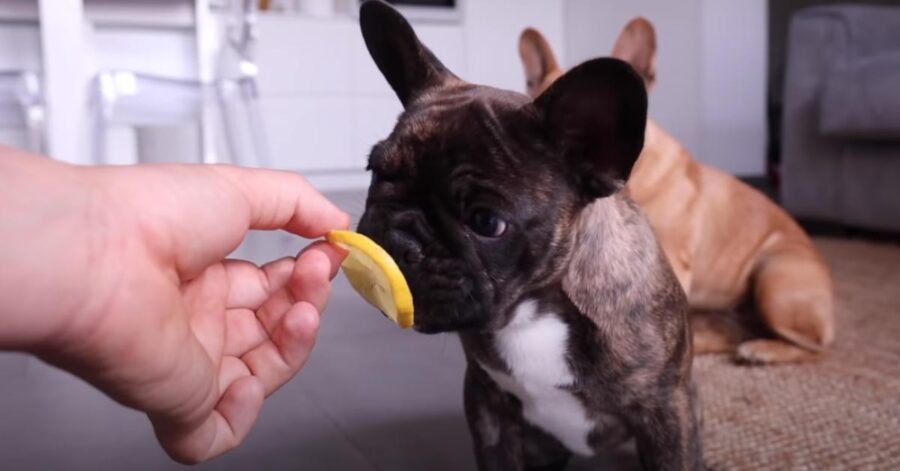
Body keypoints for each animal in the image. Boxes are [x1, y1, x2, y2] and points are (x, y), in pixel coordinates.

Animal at [356, 1, 704, 470]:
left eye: (486, 222)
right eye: (376, 172)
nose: (399, 239)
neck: (534, 308)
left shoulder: (665, 409)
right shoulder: (486, 404)